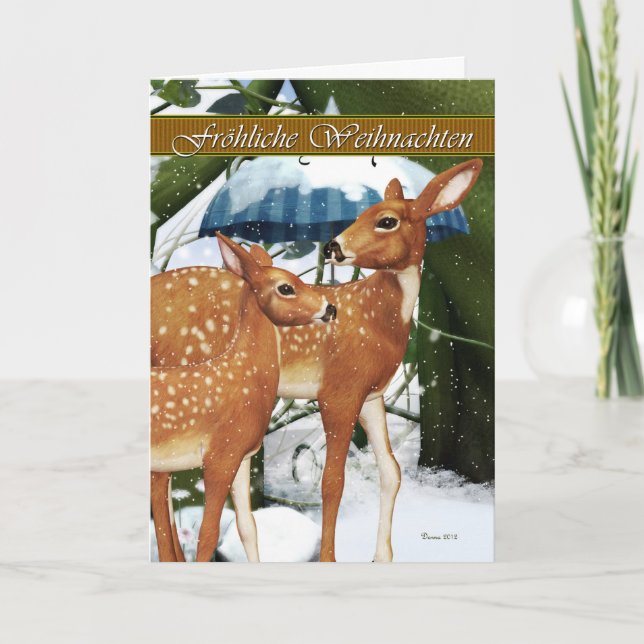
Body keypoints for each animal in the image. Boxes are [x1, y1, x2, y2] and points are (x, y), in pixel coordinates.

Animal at [151, 232, 336, 562]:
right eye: (286, 287)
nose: (330, 308)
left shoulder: (243, 456)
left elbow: (248, 527)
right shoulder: (219, 456)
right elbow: (208, 533)